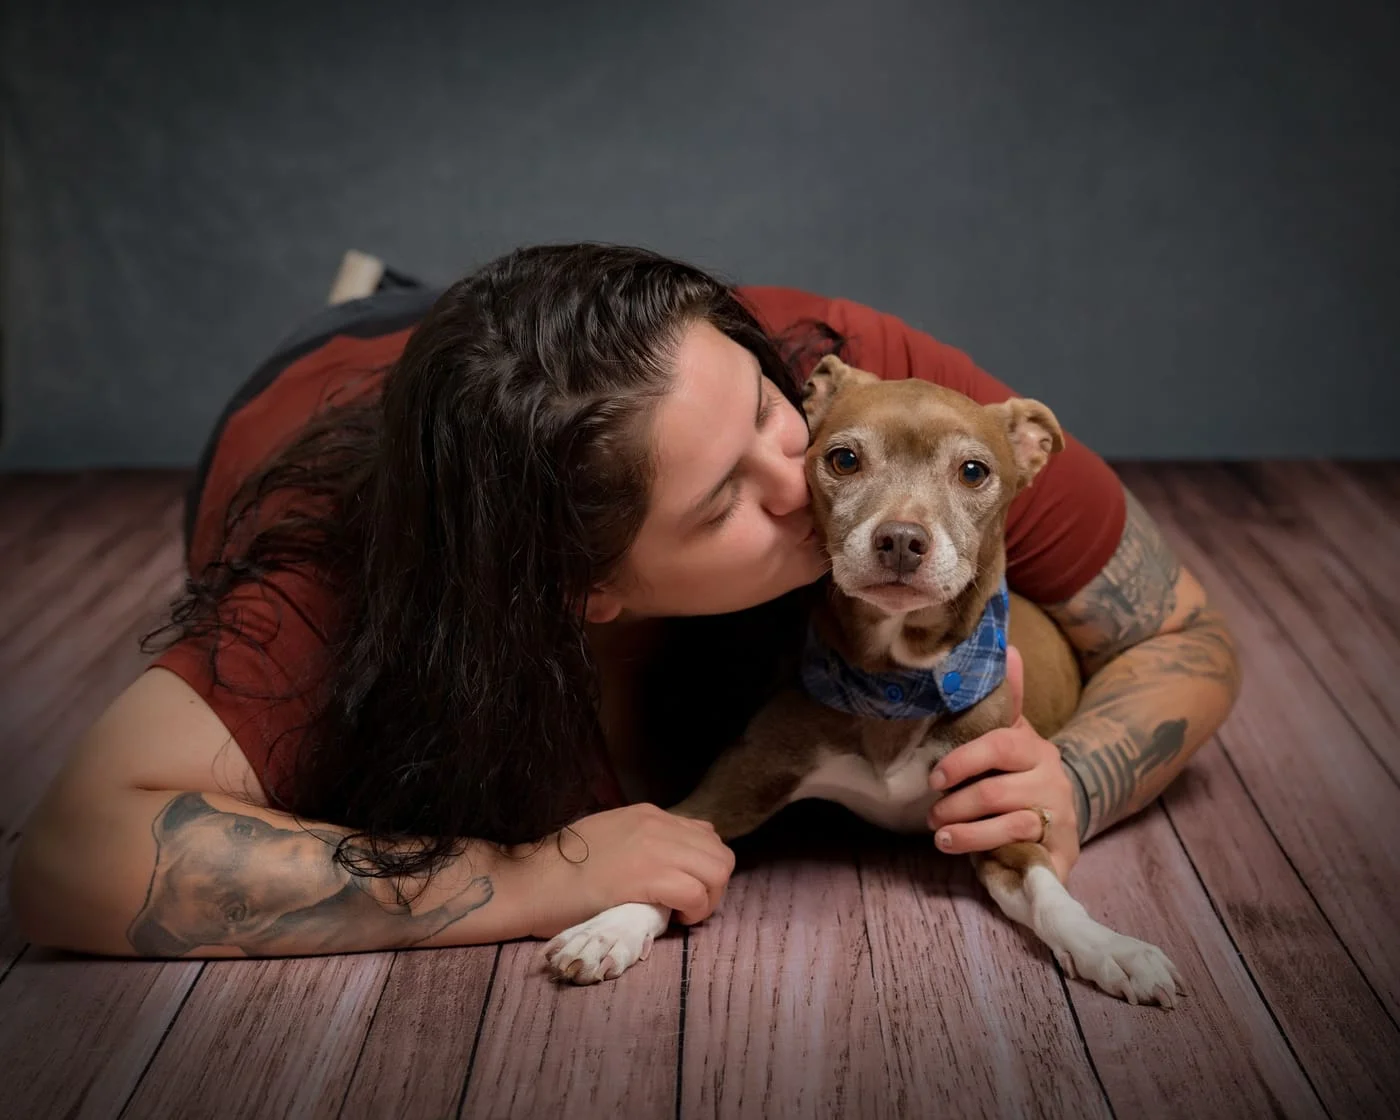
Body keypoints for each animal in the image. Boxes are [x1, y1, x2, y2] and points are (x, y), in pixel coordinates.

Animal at [546, 361, 1181, 1008]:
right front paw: (611, 926)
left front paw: (1110, 947)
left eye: (973, 471)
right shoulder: (733, 788)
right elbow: (673, 851)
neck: (895, 682)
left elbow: (1049, 890)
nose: (901, 538)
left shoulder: (997, 819)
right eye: (844, 459)